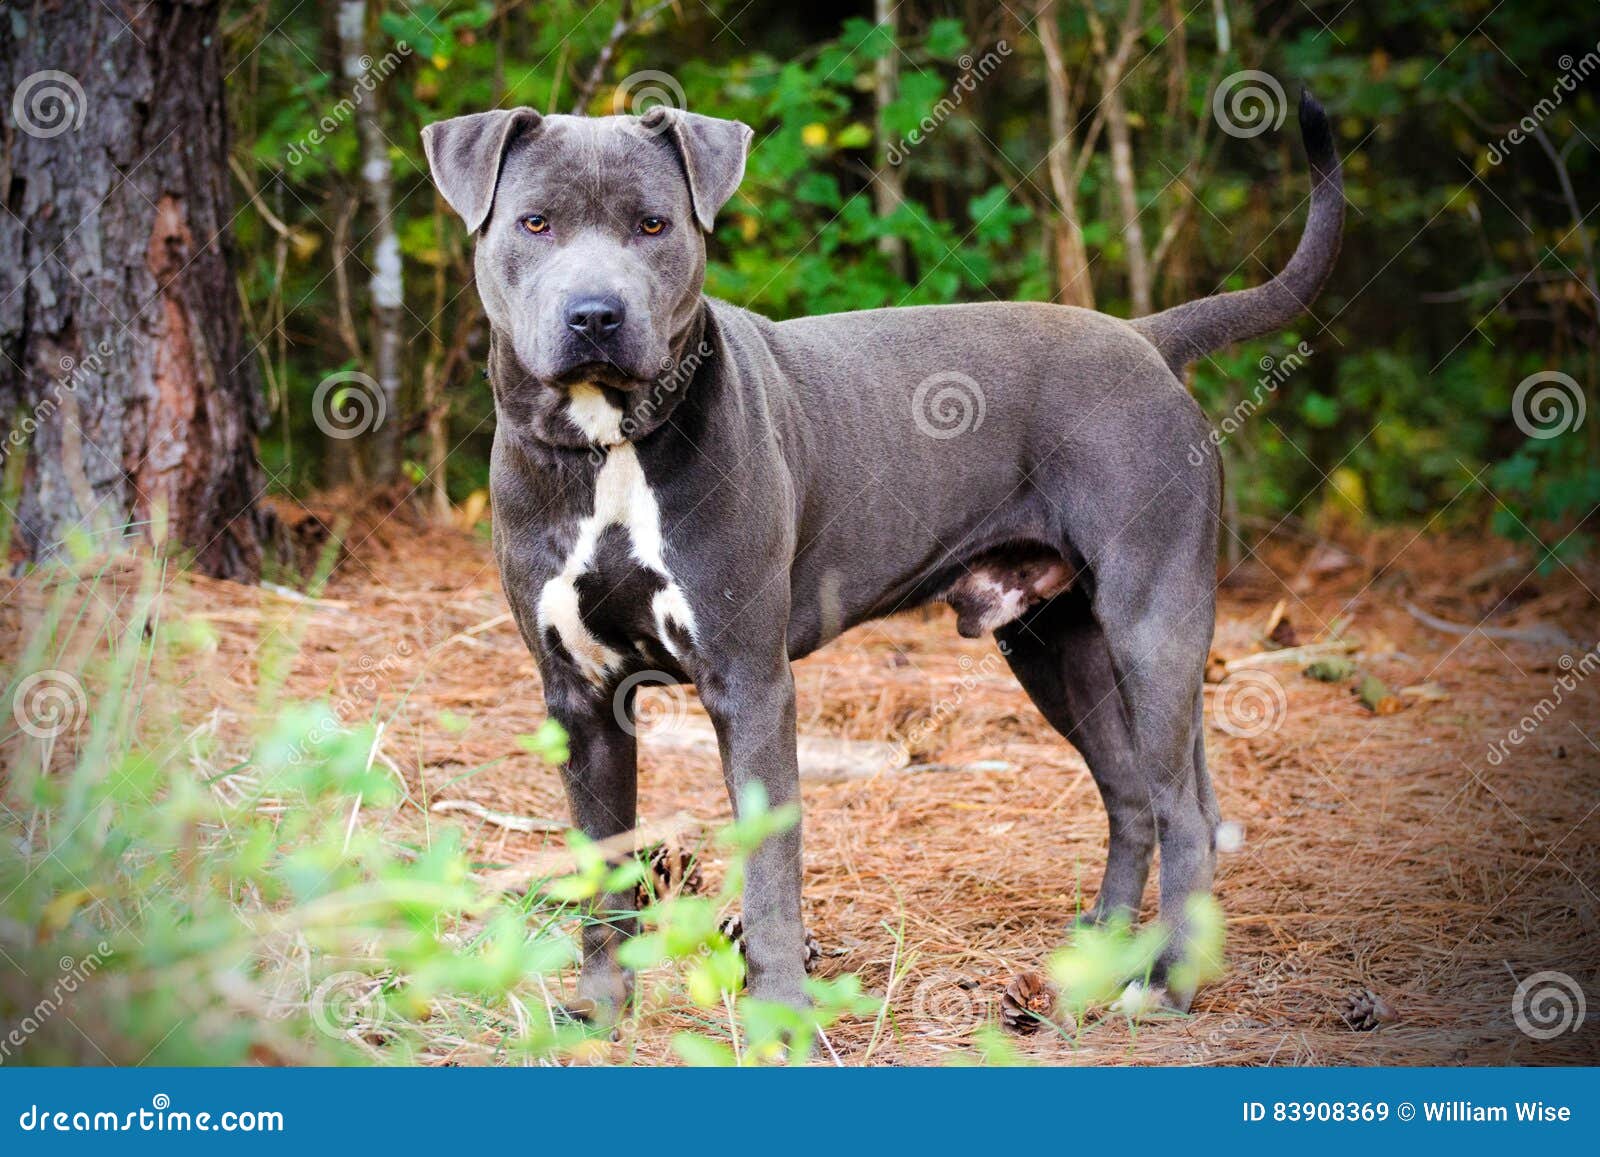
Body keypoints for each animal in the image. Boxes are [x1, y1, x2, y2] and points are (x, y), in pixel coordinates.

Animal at [419, 95, 1344, 1017]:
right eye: (535, 221)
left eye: (653, 224)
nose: (595, 314)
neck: (607, 445)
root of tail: (1143, 337)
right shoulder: (580, 696)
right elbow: (603, 867)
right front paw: (601, 1012)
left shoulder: (749, 682)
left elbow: (770, 865)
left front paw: (780, 1009)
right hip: (1056, 644)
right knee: (1133, 794)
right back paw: (1103, 946)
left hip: (1151, 623)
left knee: (1181, 811)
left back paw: (1165, 982)